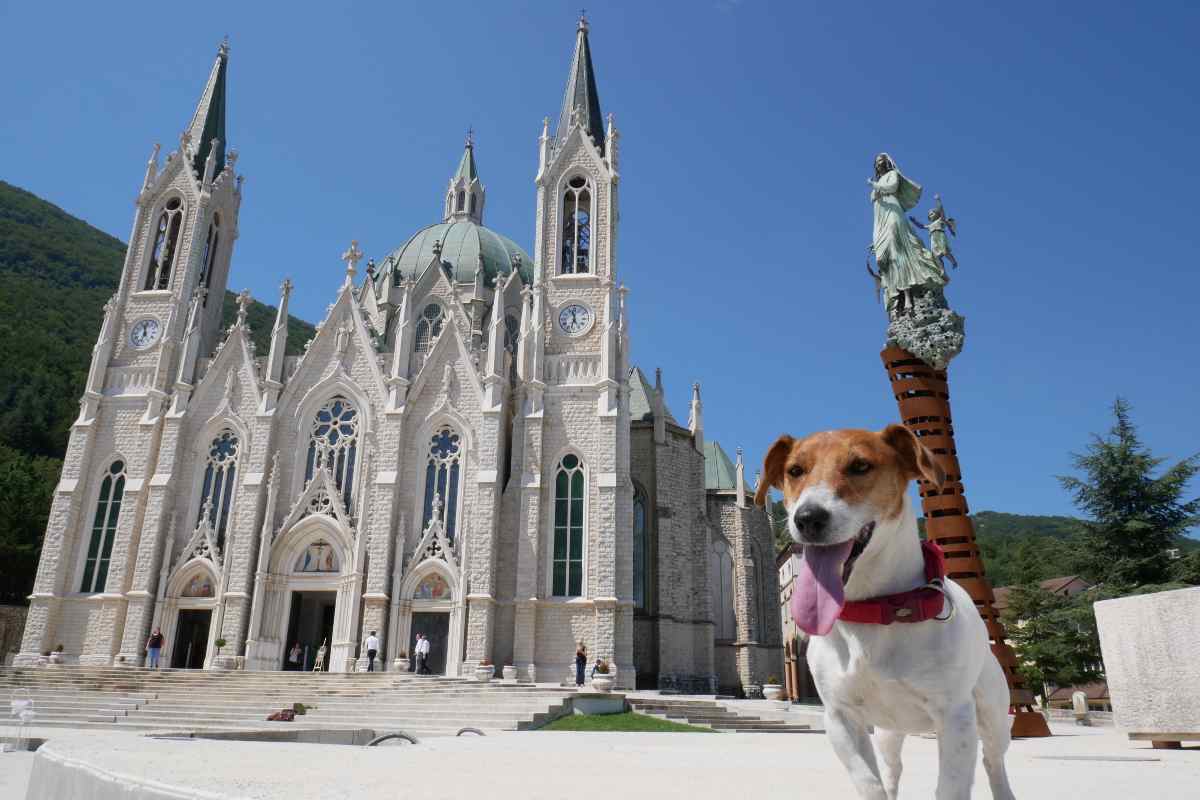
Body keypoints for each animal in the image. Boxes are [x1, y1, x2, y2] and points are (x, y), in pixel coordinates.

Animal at [753, 424, 1017, 800]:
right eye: (795, 470)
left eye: (860, 466)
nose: (807, 518)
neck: (875, 608)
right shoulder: (841, 718)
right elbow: (871, 785)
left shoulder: (955, 716)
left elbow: (950, 787)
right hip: (890, 731)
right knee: (893, 769)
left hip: (993, 715)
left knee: (993, 762)